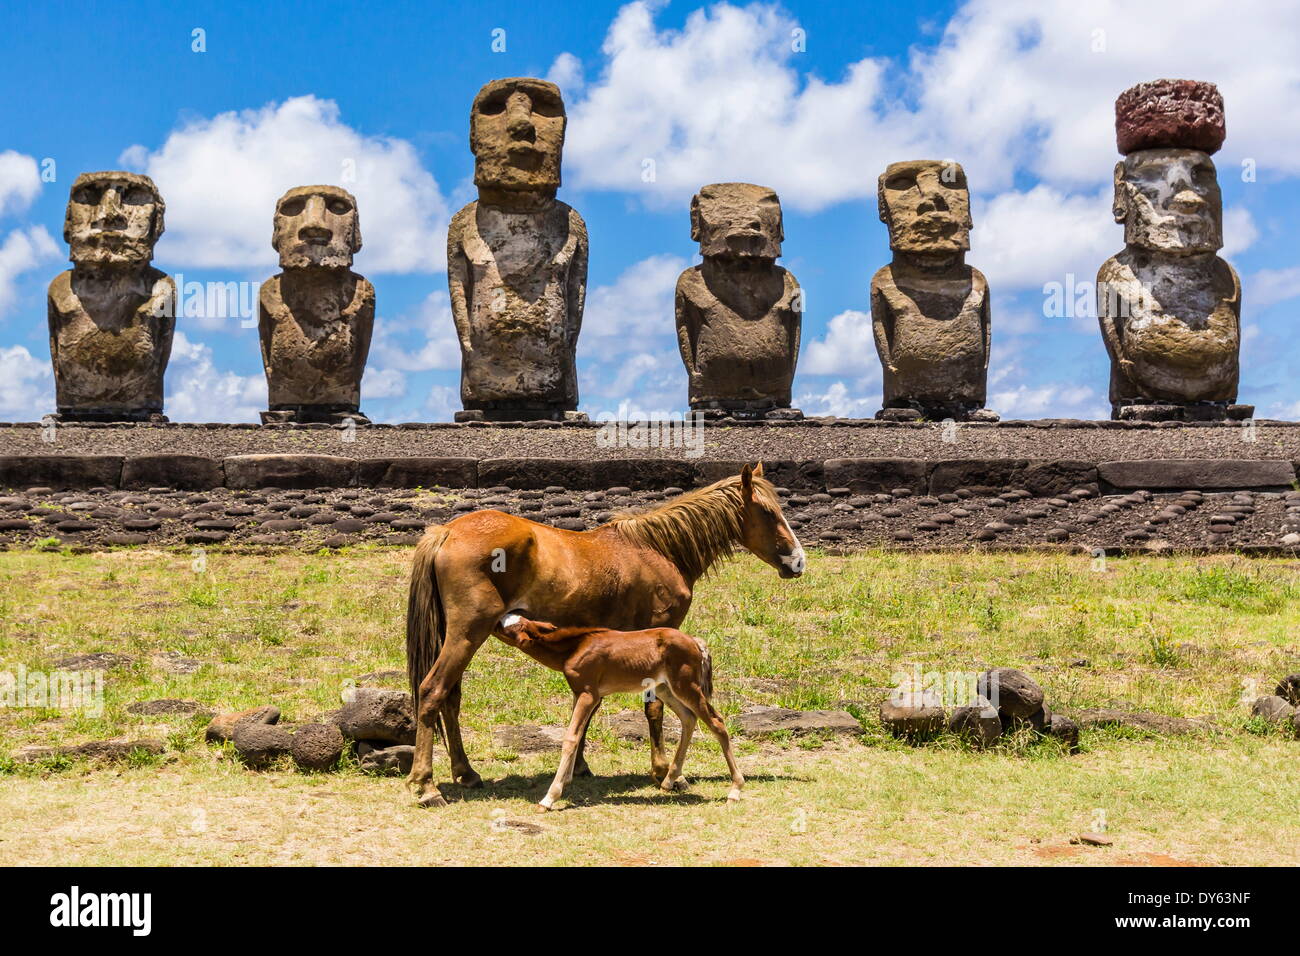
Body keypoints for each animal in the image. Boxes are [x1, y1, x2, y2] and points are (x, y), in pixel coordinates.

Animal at [493, 613, 748, 806]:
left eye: (506, 626)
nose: (494, 619)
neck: (574, 647)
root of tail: (696, 642)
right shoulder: (579, 693)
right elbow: (577, 734)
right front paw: (566, 782)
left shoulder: (589, 694)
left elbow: (570, 738)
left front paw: (550, 797)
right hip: (666, 688)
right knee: (689, 718)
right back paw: (668, 781)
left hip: (686, 685)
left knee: (716, 722)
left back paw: (735, 789)